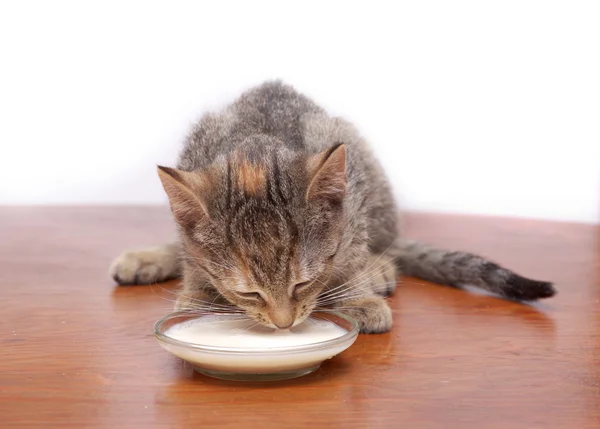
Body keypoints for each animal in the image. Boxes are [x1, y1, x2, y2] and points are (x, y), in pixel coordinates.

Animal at [110, 81, 556, 334]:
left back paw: (379, 269)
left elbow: (350, 257)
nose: (284, 323)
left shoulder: (353, 205)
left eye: (302, 284)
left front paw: (357, 296)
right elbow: (192, 259)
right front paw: (200, 293)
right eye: (249, 292)